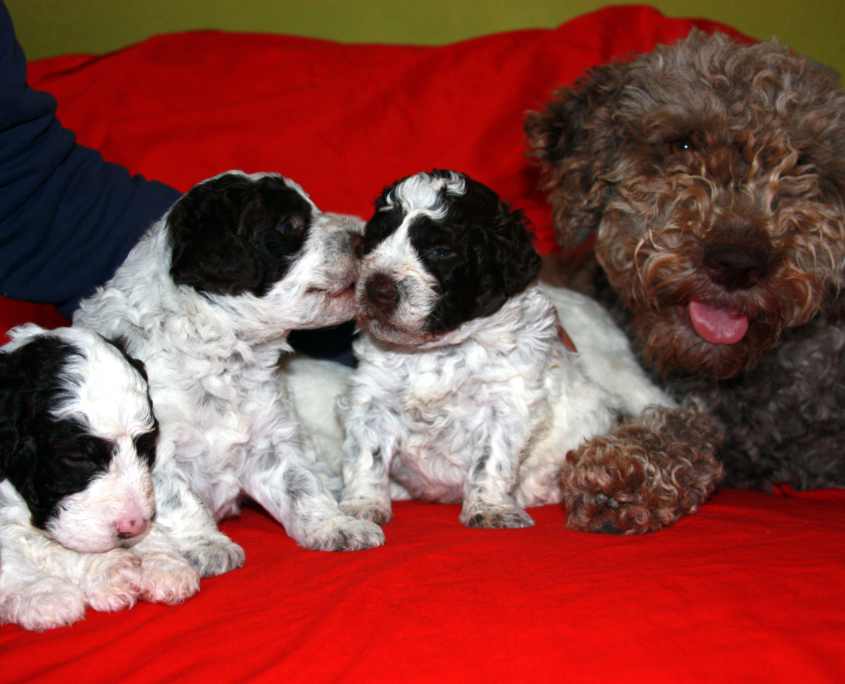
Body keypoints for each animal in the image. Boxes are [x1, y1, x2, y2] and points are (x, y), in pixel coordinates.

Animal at [74, 171, 384, 576]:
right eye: (287, 225)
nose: (362, 240)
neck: (222, 355)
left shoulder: (268, 443)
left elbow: (301, 486)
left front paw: (336, 525)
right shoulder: (151, 451)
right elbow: (177, 499)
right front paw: (206, 544)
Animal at [336, 170, 672, 528]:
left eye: (440, 251)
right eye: (374, 240)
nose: (377, 289)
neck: (437, 349)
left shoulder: (507, 403)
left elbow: (490, 459)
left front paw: (489, 508)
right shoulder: (373, 398)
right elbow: (367, 455)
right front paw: (361, 505)